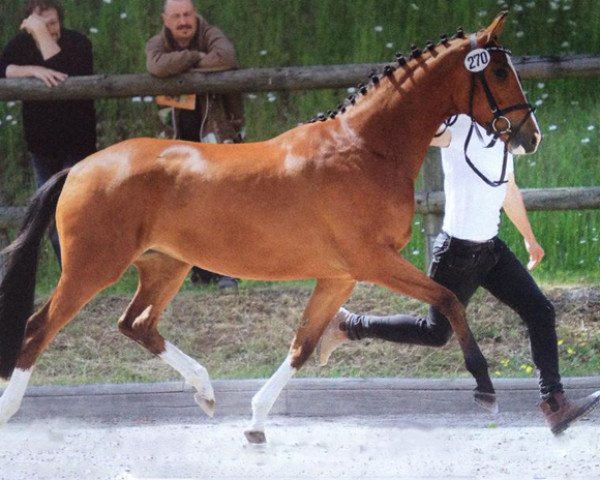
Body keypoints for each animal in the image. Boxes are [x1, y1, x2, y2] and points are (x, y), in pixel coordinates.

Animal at [0, 13, 540, 442]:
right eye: (497, 71)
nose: (529, 136)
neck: (365, 149)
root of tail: (79, 167)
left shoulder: (340, 275)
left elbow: (303, 345)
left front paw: (257, 422)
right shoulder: (374, 262)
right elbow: (449, 300)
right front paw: (485, 388)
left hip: (165, 266)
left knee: (135, 324)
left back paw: (206, 391)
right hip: (93, 268)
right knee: (37, 329)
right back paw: (10, 411)